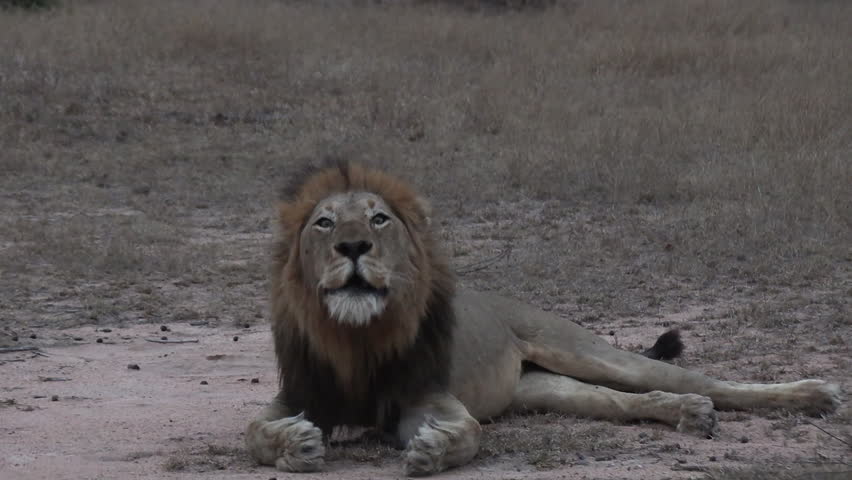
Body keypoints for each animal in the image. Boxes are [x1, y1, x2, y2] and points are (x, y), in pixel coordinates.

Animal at [246, 162, 842, 476]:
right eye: (324, 223)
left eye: (378, 219)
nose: (352, 246)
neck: (358, 336)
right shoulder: (295, 395)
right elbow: (255, 432)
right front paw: (296, 446)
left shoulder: (428, 400)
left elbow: (466, 433)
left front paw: (433, 451)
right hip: (548, 390)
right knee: (627, 402)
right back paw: (690, 413)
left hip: (587, 350)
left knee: (709, 382)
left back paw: (814, 394)